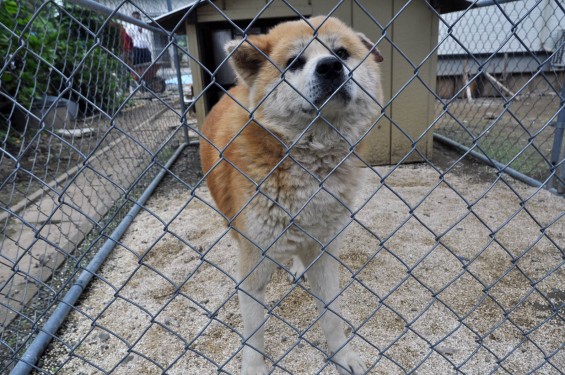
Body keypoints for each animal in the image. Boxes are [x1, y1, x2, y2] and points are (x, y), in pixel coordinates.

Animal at [199, 15, 384, 375]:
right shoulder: (252, 270)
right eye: (294, 62)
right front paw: (254, 368)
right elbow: (254, 335)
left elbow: (332, 315)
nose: (330, 66)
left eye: (342, 52)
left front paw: (342, 355)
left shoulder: (325, 251)